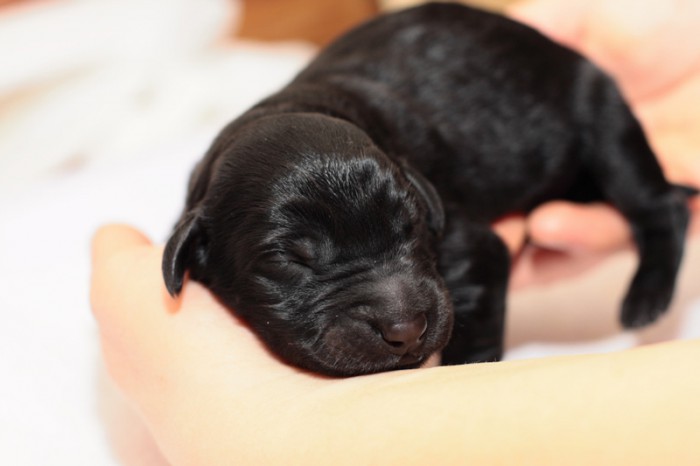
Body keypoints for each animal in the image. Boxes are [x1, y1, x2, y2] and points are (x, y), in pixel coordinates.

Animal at [163, 3, 695, 376]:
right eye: (287, 261)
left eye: (411, 225)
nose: (406, 330)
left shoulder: (471, 246)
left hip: (602, 115)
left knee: (660, 206)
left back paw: (647, 297)